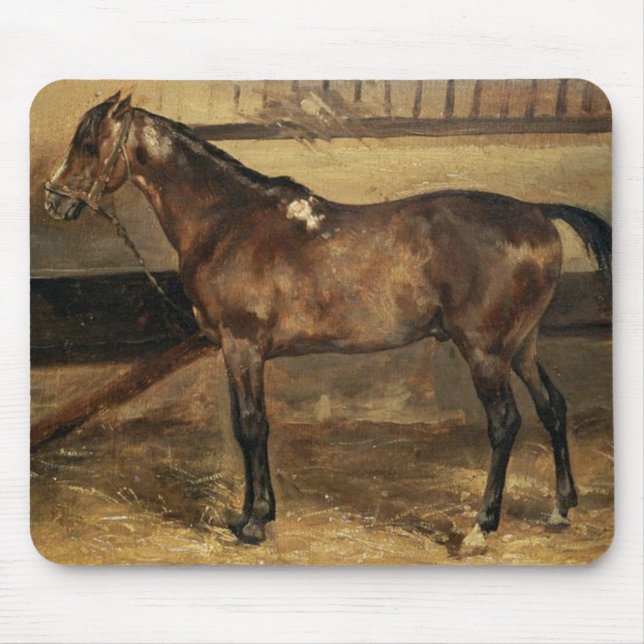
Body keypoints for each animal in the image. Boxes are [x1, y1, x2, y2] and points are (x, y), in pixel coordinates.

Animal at [44, 91, 612, 554]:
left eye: (89, 145)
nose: (53, 199)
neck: (228, 221)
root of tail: (537, 212)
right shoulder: (232, 350)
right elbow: (244, 427)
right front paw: (249, 516)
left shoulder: (243, 346)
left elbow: (252, 426)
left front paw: (256, 523)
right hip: (522, 346)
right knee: (553, 408)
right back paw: (560, 509)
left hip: (485, 351)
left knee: (505, 423)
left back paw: (480, 527)